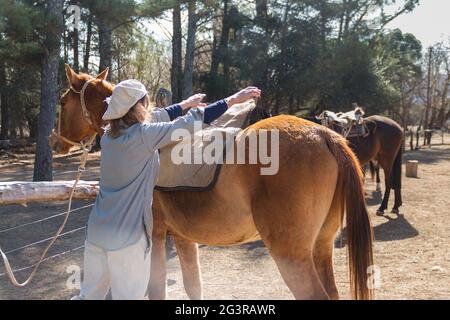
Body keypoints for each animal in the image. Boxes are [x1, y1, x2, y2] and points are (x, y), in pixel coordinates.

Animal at [49, 65, 374, 300]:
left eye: (62, 101)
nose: (54, 141)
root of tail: (325, 135)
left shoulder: (156, 234)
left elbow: (157, 287)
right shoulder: (183, 236)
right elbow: (193, 285)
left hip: (291, 253)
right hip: (321, 245)